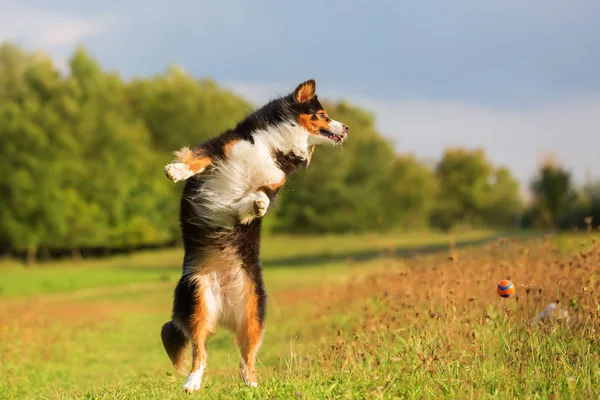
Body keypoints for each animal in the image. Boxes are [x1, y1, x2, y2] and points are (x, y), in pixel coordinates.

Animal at [161, 79, 346, 392]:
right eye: (322, 114)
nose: (346, 127)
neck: (271, 147)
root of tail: (224, 304)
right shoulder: (221, 148)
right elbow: (197, 158)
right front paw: (176, 170)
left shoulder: (271, 182)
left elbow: (253, 201)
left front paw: (257, 206)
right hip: (198, 298)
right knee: (200, 350)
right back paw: (192, 383)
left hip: (253, 312)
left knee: (244, 356)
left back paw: (251, 384)